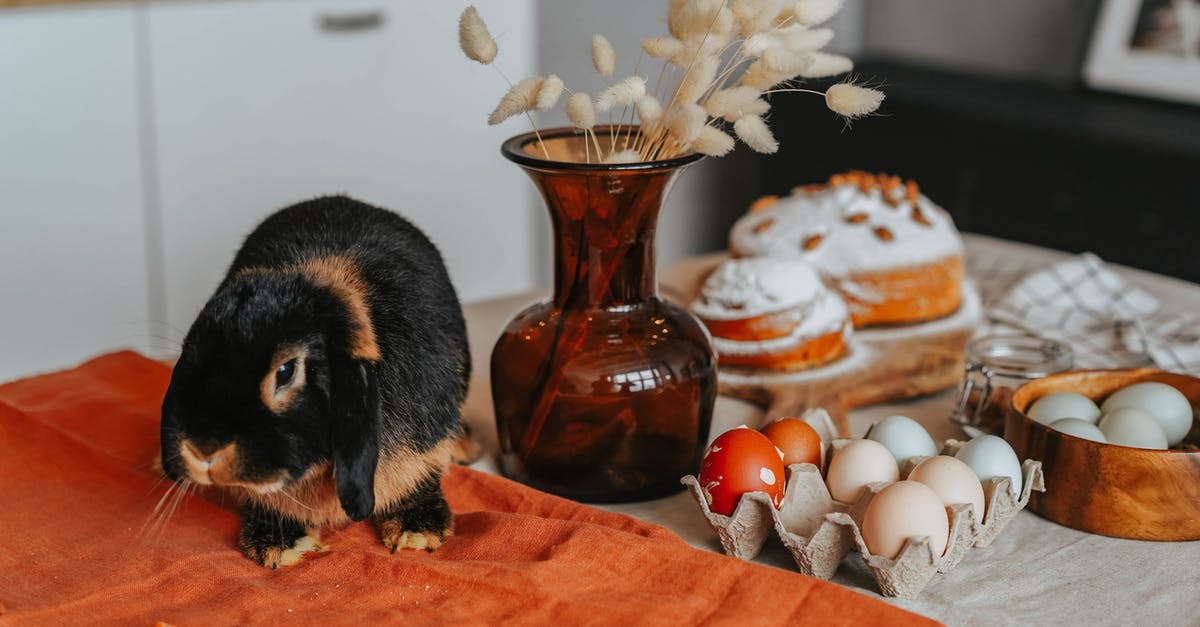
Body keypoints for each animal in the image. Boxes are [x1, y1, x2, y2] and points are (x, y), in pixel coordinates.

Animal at [162, 196, 470, 566]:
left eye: (285, 372)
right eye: (190, 352)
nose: (202, 450)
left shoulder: (426, 444)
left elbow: (421, 475)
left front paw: (418, 533)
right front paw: (282, 546)